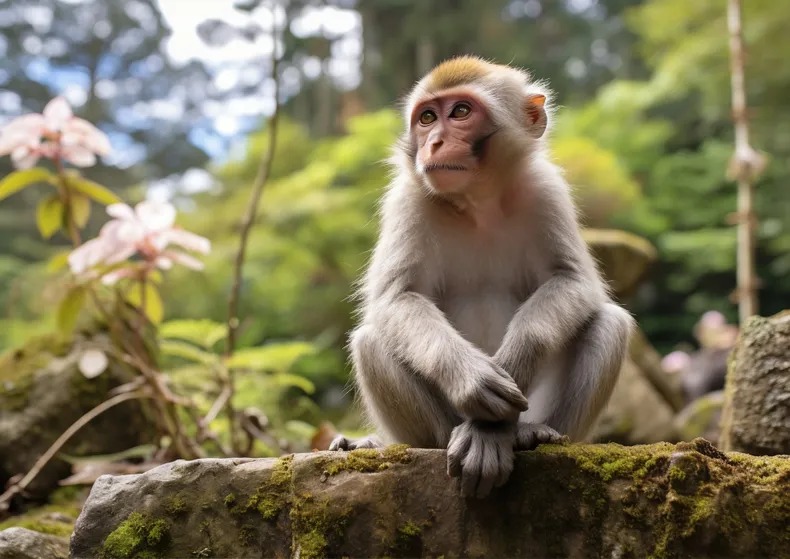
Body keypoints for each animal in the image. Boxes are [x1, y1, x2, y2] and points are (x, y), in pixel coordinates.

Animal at [330, 57, 636, 498]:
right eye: (426, 118)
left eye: (460, 111)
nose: (434, 143)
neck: (478, 202)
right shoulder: (407, 200)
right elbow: (397, 297)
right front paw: (472, 380)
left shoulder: (546, 189)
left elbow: (573, 280)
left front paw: (516, 360)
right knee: (371, 340)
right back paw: (451, 435)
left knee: (610, 323)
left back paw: (530, 433)